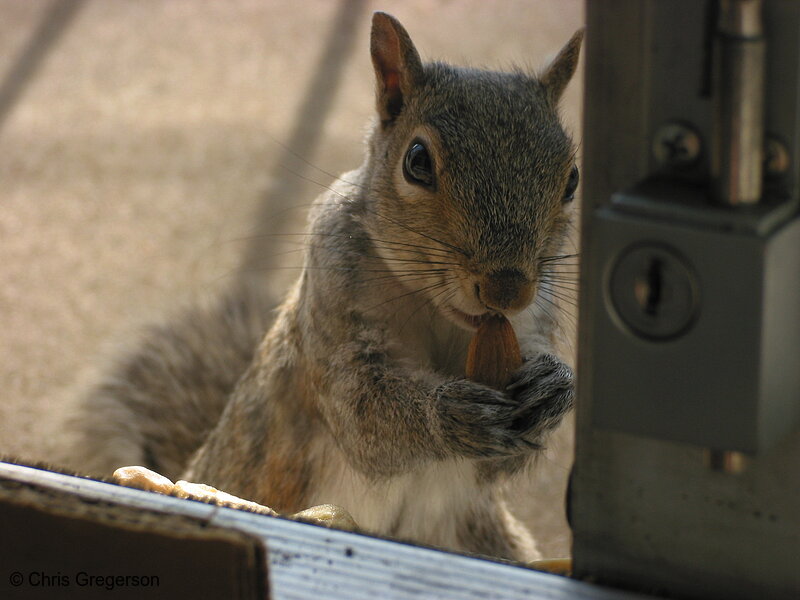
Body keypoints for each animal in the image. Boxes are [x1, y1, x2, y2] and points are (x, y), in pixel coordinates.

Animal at [59, 11, 580, 560]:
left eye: (572, 179)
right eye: (417, 161)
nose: (507, 291)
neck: (434, 310)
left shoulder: (531, 324)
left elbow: (500, 463)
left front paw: (554, 388)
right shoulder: (332, 306)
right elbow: (363, 411)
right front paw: (450, 415)